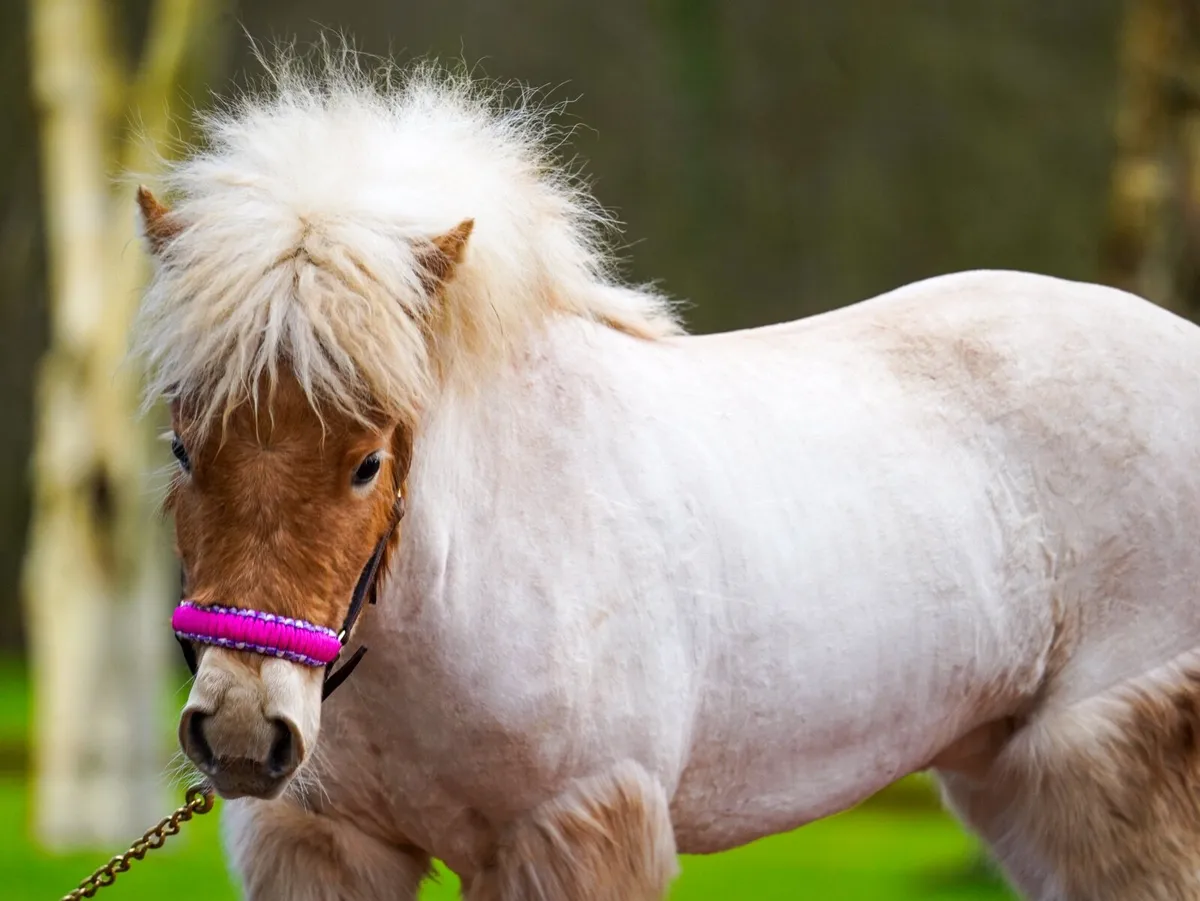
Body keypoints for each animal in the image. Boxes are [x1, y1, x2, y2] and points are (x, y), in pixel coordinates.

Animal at [132, 51, 1200, 901]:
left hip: (1108, 769)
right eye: (184, 446)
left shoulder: (573, 829)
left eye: (365, 463)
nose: (242, 729)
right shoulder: (325, 843)